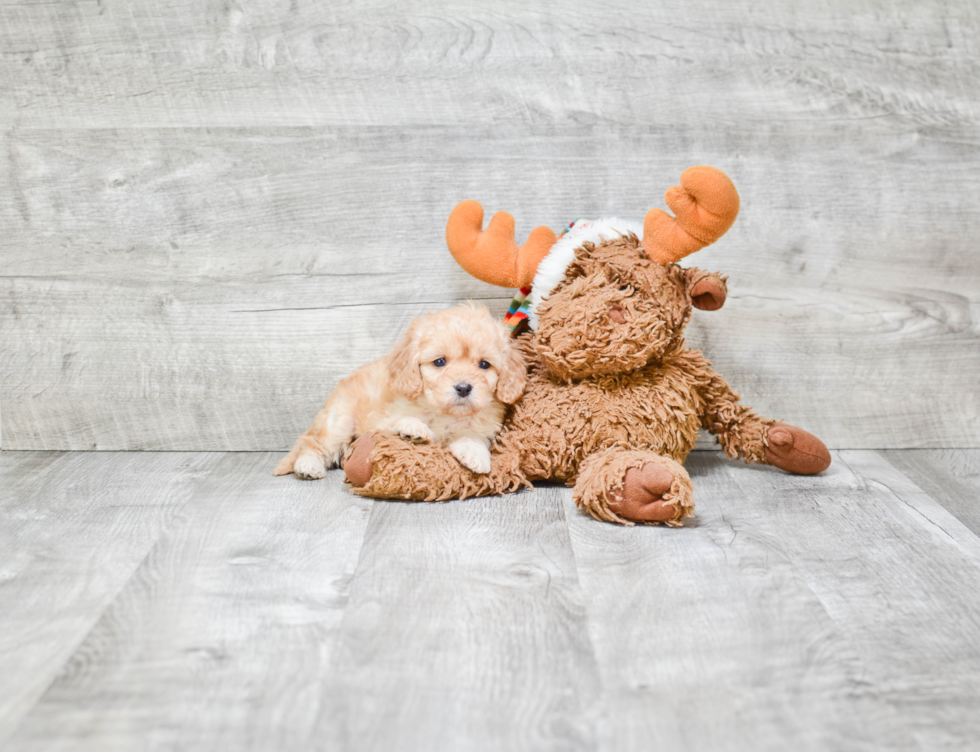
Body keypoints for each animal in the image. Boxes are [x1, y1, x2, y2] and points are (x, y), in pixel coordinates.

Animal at [272, 302, 524, 478]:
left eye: (484, 365)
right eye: (440, 362)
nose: (463, 388)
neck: (444, 413)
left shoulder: (482, 425)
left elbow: (472, 436)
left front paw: (475, 454)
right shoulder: (378, 418)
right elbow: (397, 421)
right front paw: (414, 428)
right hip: (340, 421)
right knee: (312, 443)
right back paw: (307, 465)